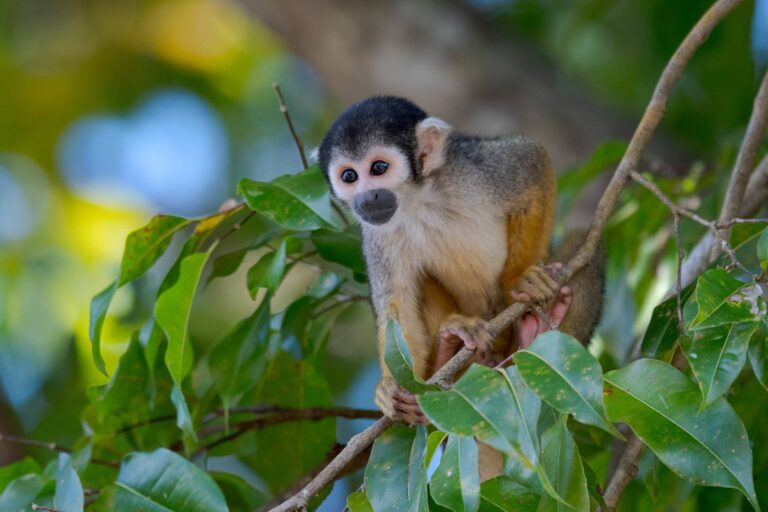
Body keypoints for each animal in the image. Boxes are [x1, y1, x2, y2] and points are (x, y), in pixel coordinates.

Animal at [317, 96, 605, 430]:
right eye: (349, 176)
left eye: (378, 168)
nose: (366, 198)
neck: (418, 199)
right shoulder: (376, 232)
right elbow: (396, 304)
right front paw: (392, 387)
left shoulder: (470, 169)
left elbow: (533, 161)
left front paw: (519, 279)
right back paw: (448, 356)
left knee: (585, 242)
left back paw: (536, 333)